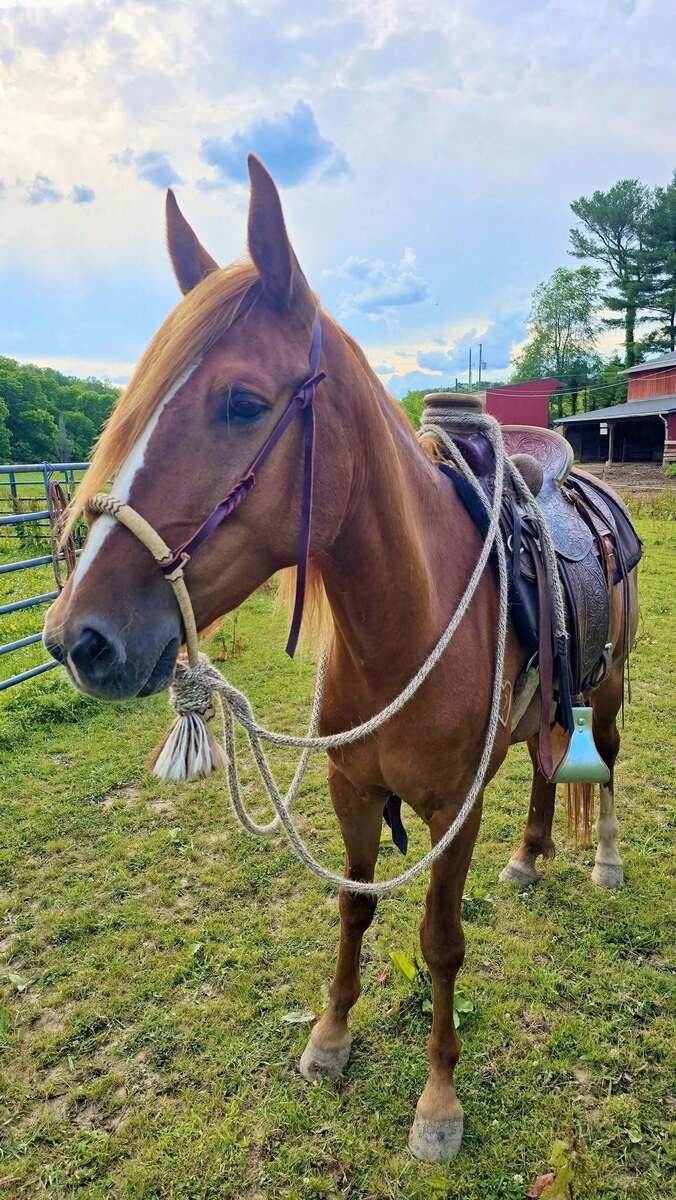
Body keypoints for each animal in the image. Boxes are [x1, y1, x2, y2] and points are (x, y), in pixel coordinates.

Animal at [44, 154, 639, 1164]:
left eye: (244, 403)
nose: (75, 638)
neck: (406, 627)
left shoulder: (449, 810)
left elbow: (440, 942)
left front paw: (437, 1101)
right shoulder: (352, 790)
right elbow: (355, 907)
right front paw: (329, 1037)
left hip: (612, 686)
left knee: (604, 754)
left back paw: (598, 860)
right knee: (544, 761)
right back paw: (530, 855)